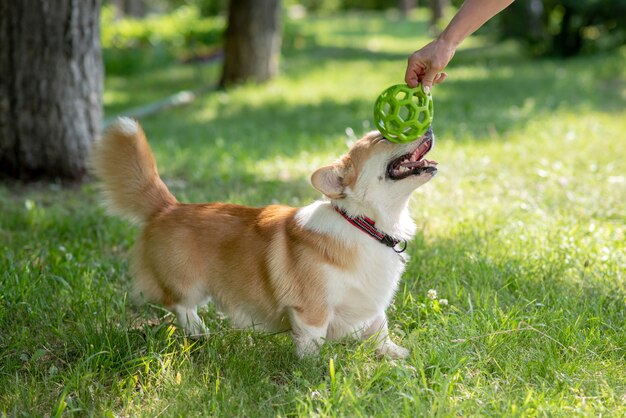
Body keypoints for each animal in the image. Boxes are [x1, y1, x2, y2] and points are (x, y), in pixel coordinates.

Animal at [90, 117, 436, 360]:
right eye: (382, 138)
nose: (430, 126)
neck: (363, 224)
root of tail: (168, 207)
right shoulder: (310, 311)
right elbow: (313, 342)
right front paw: (314, 370)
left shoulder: (372, 302)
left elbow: (380, 328)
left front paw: (396, 355)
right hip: (188, 286)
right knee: (180, 306)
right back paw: (200, 333)